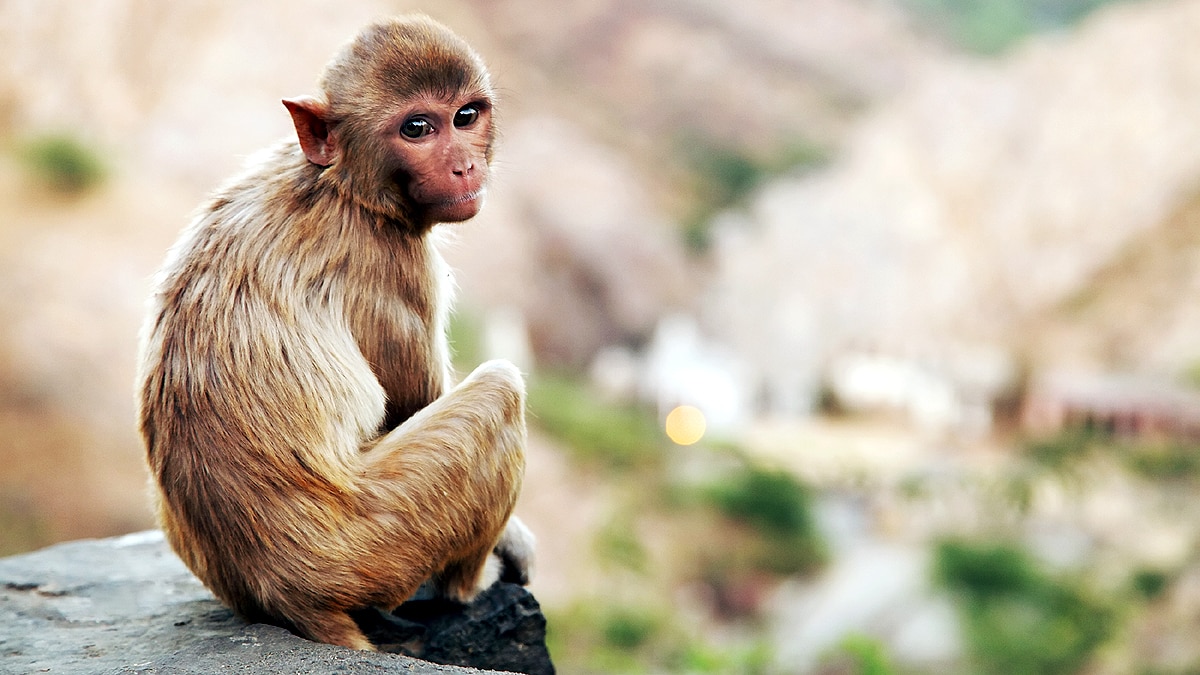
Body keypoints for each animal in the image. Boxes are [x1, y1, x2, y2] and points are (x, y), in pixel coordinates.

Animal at [135, 15, 534, 651]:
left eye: (466, 116)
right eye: (417, 128)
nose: (465, 167)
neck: (343, 183)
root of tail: (283, 596)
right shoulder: (396, 266)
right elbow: (412, 405)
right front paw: (512, 539)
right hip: (377, 544)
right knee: (499, 390)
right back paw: (466, 589)